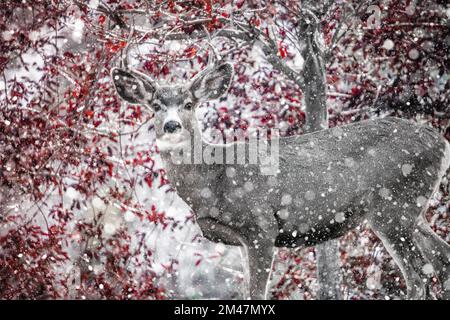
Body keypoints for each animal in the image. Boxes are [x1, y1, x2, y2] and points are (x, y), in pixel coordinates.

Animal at [111, 62, 450, 300]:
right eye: (155, 105)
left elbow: (257, 293)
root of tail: (441, 143)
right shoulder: (239, 239)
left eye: (189, 104)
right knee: (442, 259)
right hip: (413, 210)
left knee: (419, 277)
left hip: (392, 207)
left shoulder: (261, 225)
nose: (171, 125)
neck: (213, 182)